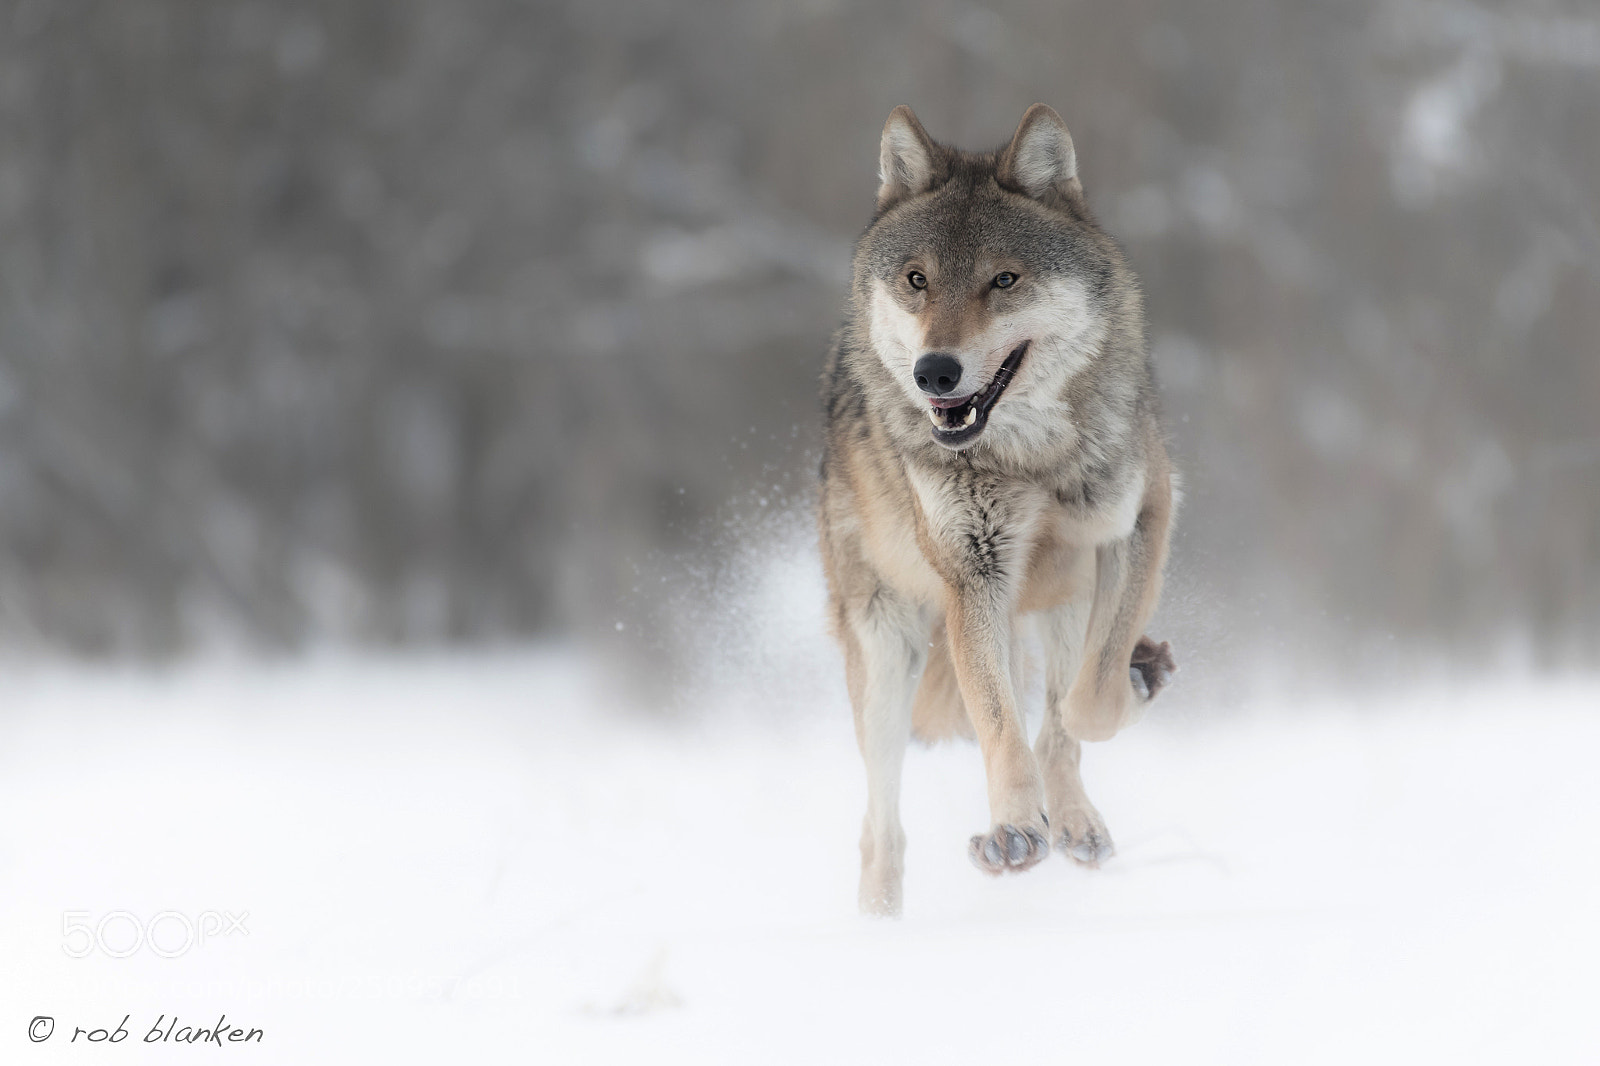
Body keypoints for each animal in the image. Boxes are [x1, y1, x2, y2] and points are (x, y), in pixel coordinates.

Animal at [818, 104, 1178, 916]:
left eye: (1004, 280)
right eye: (917, 280)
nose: (935, 372)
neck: (1028, 459)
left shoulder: (1144, 518)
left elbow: (1086, 706)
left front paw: (1121, 697)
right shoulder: (973, 576)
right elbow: (1001, 725)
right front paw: (1013, 829)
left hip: (1063, 599)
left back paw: (1078, 818)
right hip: (889, 658)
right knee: (880, 826)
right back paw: (879, 921)